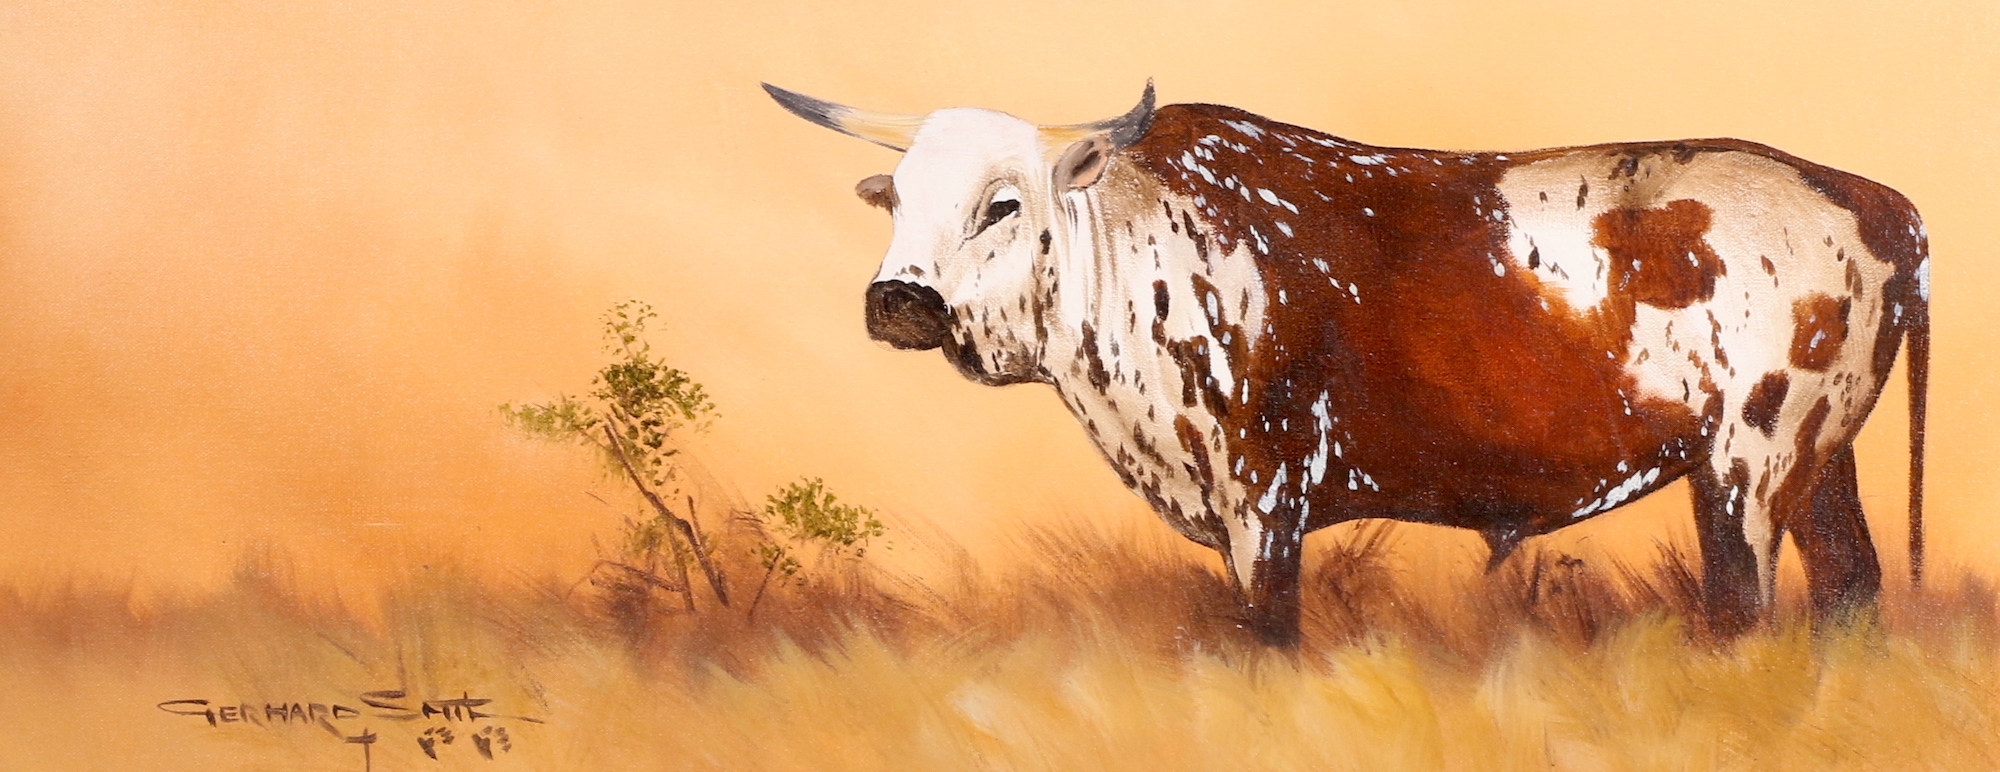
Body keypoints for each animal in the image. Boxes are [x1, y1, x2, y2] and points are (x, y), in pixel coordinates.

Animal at [765, 82, 1930, 646]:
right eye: (897, 196)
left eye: (1001, 203)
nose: (898, 300)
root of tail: (1868, 196)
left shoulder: (1262, 497)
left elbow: (1267, 632)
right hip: (1822, 465)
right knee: (1851, 587)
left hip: (1747, 471)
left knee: (1745, 608)